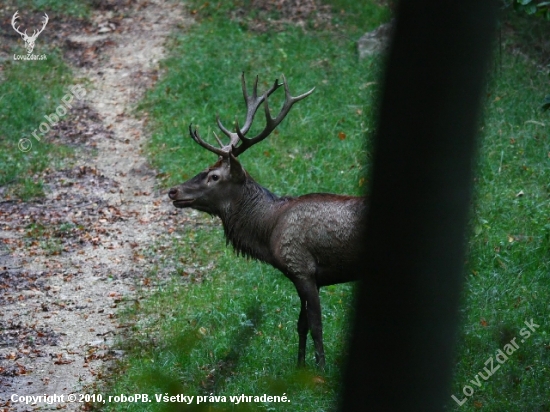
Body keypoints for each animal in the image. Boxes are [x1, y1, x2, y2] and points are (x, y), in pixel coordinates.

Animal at [168, 73, 366, 366]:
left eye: (214, 176)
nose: (173, 191)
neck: (269, 231)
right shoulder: (298, 276)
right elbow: (301, 325)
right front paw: (299, 367)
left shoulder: (302, 267)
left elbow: (316, 325)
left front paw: (320, 368)